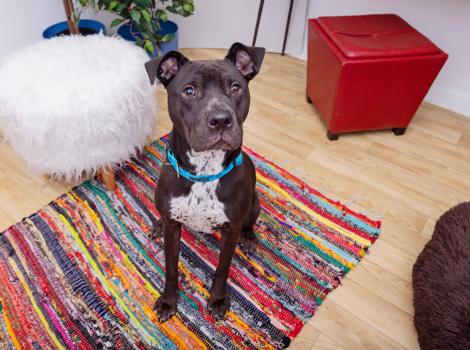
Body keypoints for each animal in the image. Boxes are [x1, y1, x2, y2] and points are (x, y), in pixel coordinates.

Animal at [144, 42, 264, 322]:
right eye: (189, 91)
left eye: (235, 87)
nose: (220, 119)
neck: (204, 171)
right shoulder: (173, 227)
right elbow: (171, 268)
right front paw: (168, 301)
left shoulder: (230, 231)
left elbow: (222, 270)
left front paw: (218, 299)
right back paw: (156, 225)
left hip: (255, 202)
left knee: (250, 222)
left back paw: (249, 237)